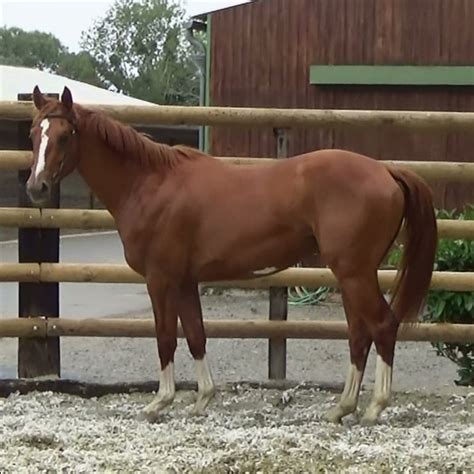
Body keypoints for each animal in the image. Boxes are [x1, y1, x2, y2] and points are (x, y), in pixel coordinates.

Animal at [26, 87, 436, 424]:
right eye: (33, 134)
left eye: (64, 135)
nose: (36, 187)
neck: (151, 184)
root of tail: (385, 170)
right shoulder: (185, 281)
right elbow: (196, 336)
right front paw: (202, 400)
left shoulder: (160, 280)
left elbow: (165, 338)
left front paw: (160, 402)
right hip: (352, 275)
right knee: (358, 335)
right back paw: (342, 408)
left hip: (355, 274)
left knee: (382, 326)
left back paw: (374, 408)